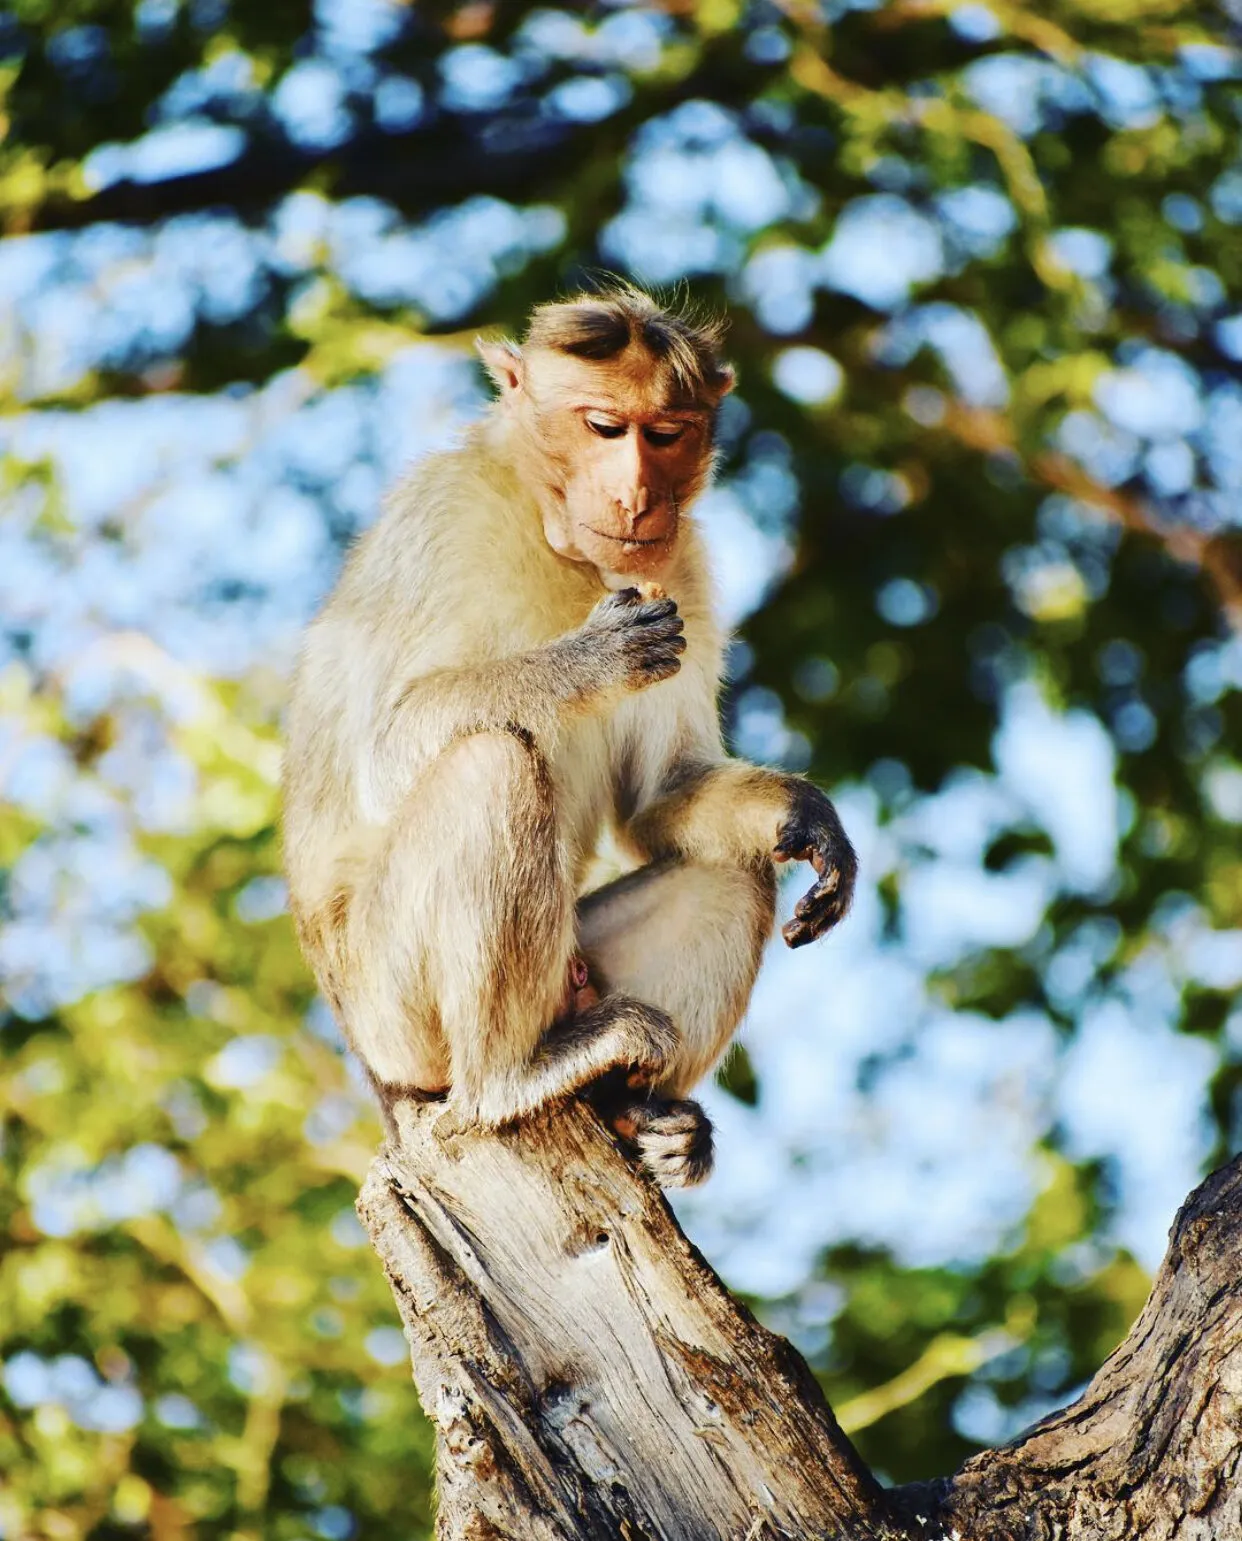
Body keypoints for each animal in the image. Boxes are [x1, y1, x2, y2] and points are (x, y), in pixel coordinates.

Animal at [281, 285, 856, 1188]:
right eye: (604, 427)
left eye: (666, 433)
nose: (636, 497)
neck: (547, 524)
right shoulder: (441, 515)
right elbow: (382, 751)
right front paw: (592, 659)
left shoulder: (681, 568)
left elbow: (660, 797)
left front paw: (805, 815)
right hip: (391, 1009)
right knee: (490, 762)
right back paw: (511, 1076)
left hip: (573, 965)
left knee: (734, 872)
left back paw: (639, 1113)